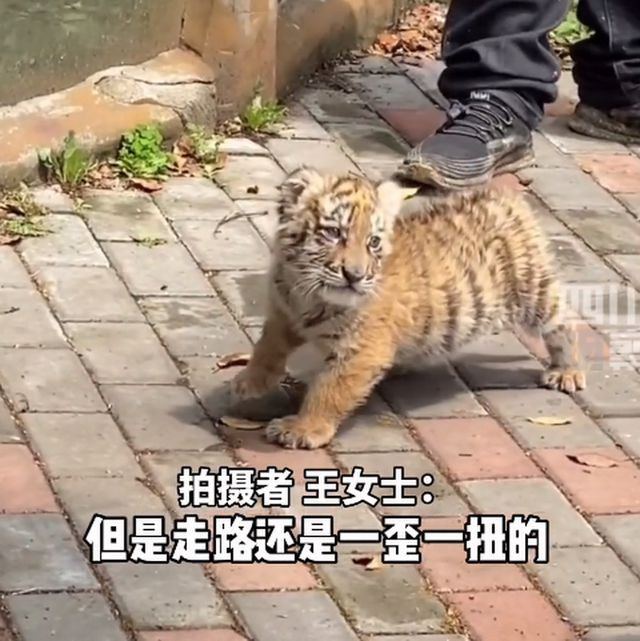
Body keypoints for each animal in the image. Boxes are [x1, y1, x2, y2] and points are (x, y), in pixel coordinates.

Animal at [229, 167, 586, 449]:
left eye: (373, 242)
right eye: (333, 233)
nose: (354, 275)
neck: (306, 291)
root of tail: (505, 197)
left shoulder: (359, 351)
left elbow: (330, 391)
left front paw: (304, 429)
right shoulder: (284, 312)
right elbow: (267, 346)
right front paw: (250, 382)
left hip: (533, 289)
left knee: (564, 322)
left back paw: (566, 371)